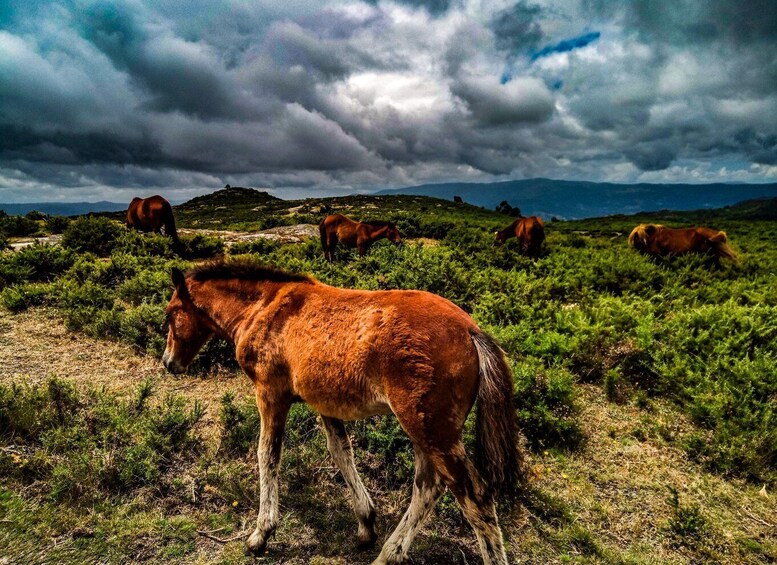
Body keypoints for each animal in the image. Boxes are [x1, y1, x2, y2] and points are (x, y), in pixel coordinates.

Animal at [161, 258, 524, 560]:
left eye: (170, 313)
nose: (168, 363)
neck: (265, 309)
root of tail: (470, 330)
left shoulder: (270, 393)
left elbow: (268, 455)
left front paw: (261, 534)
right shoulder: (326, 403)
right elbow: (341, 453)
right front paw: (366, 524)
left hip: (431, 429)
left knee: (474, 496)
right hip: (426, 430)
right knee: (429, 485)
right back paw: (389, 554)